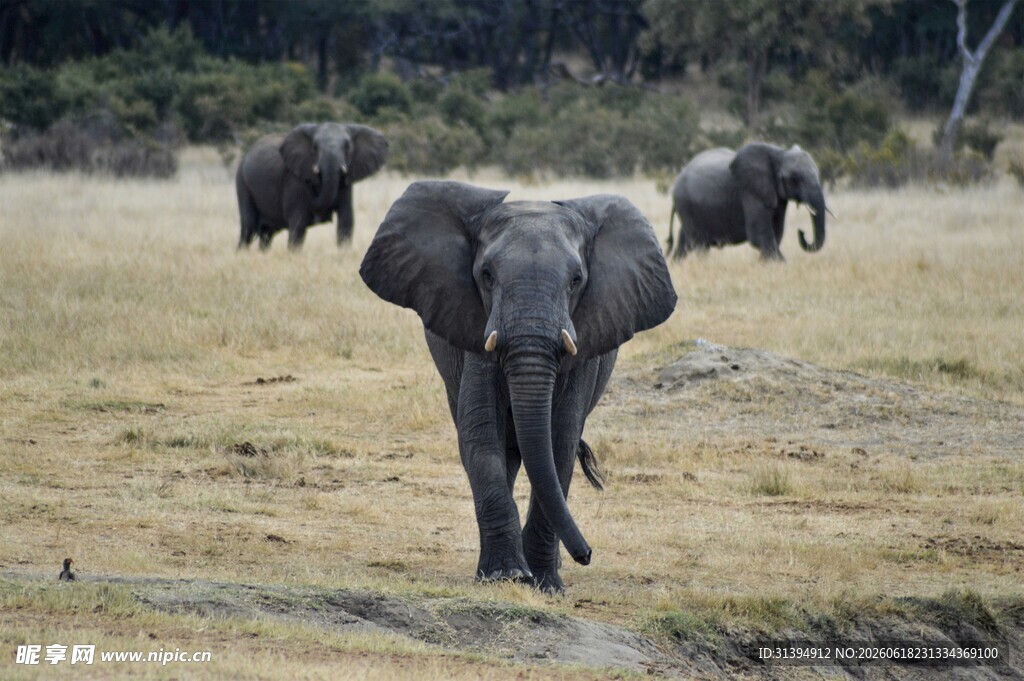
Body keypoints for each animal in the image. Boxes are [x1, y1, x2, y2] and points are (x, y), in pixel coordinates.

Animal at [235, 122, 388, 250]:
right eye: (314, 147)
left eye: (347, 147)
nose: (311, 183)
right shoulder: (295, 180)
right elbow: (298, 224)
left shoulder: (345, 183)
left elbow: (346, 220)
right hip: (242, 181)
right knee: (248, 228)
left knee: (266, 234)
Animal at [360, 181, 677, 591]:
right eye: (486, 275)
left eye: (577, 280)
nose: (587, 554)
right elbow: (482, 435)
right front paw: (506, 576)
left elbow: (559, 441)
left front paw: (545, 584)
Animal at [666, 143, 828, 261]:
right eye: (795, 179)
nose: (802, 232)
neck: (780, 153)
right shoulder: (750, 190)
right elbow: (759, 234)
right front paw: (780, 264)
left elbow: (776, 232)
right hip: (686, 204)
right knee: (699, 243)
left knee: (686, 241)